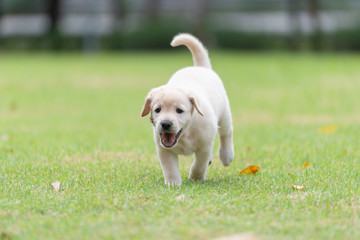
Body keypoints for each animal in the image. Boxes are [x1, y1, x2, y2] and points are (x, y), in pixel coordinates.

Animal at [141, 33, 233, 186]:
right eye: (157, 109)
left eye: (179, 110)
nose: (165, 124)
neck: (185, 134)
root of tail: (200, 67)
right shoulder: (164, 149)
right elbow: (170, 168)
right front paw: (173, 183)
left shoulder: (204, 147)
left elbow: (199, 165)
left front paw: (196, 178)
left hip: (224, 114)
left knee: (226, 133)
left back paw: (227, 155)